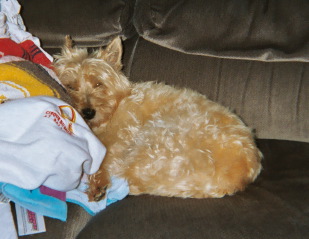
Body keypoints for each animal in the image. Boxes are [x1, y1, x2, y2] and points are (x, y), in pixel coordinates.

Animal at [53, 36, 260, 202]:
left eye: (98, 84)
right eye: (71, 86)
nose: (88, 113)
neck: (116, 105)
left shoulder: (119, 140)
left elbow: (102, 162)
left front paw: (97, 184)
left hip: (155, 139)